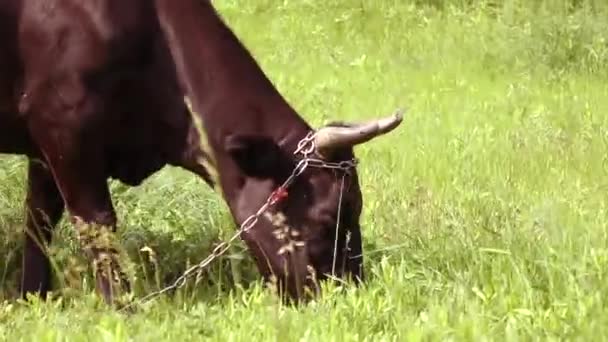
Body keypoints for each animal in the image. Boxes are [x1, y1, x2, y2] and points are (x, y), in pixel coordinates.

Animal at [2, 0, 406, 304]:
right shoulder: (63, 126)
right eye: (327, 217)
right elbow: (97, 224)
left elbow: (38, 219)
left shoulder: (45, 147)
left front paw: (32, 297)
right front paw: (122, 306)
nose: (350, 293)